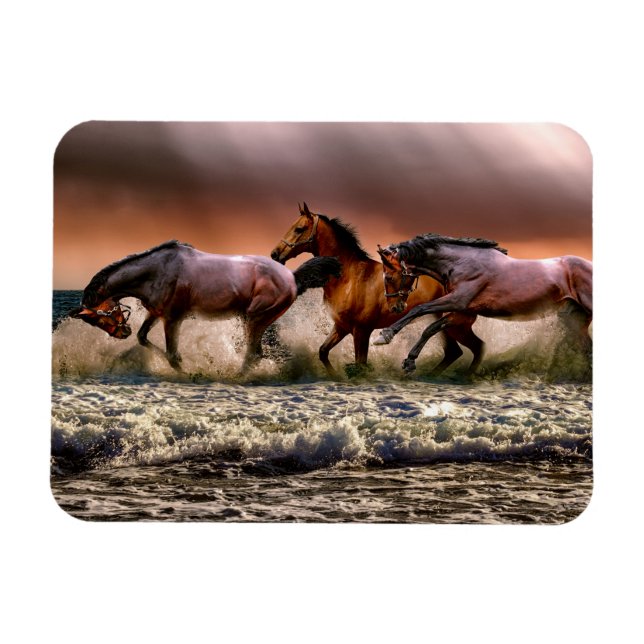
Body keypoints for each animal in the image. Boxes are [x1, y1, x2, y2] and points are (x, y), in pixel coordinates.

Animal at [69, 240, 341, 371]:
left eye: (99, 315)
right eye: (94, 321)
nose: (121, 332)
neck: (156, 272)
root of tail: (293, 277)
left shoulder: (173, 318)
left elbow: (172, 356)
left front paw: (190, 372)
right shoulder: (155, 313)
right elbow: (143, 338)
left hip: (255, 318)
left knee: (253, 355)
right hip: (255, 321)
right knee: (256, 354)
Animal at [270, 203, 485, 376]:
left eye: (299, 229)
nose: (275, 254)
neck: (349, 278)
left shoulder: (361, 331)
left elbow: (360, 365)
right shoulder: (341, 327)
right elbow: (323, 352)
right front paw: (335, 376)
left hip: (455, 324)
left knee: (473, 348)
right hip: (447, 325)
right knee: (456, 351)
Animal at [373, 233, 593, 374]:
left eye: (389, 277)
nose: (395, 307)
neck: (461, 263)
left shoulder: (457, 300)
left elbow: (420, 310)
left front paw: (384, 336)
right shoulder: (461, 312)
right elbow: (431, 328)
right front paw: (409, 362)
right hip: (574, 319)